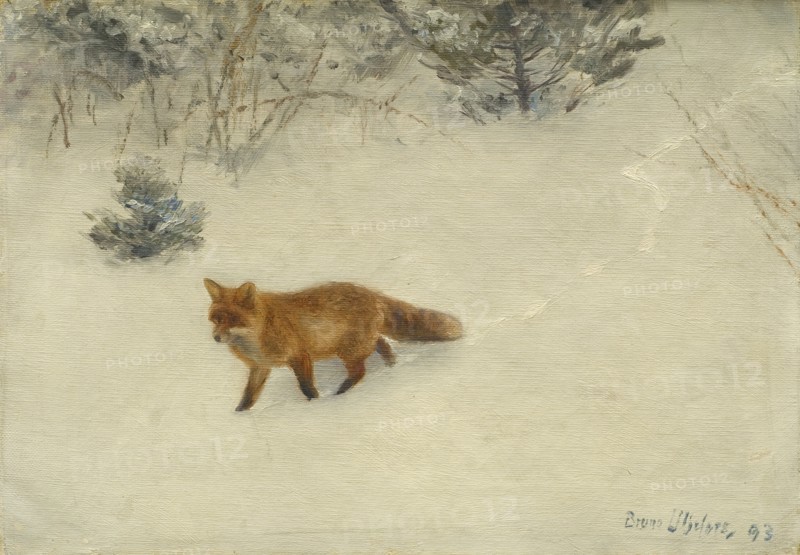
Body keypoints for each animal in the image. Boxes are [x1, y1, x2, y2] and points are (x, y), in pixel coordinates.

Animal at [204, 279, 463, 411]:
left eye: (232, 320)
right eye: (216, 319)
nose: (216, 337)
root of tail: (371, 293)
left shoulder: (300, 356)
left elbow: (307, 388)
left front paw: (315, 406)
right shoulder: (260, 367)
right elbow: (248, 397)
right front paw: (239, 416)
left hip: (348, 351)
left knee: (360, 371)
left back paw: (340, 395)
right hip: (359, 344)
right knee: (382, 344)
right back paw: (391, 367)